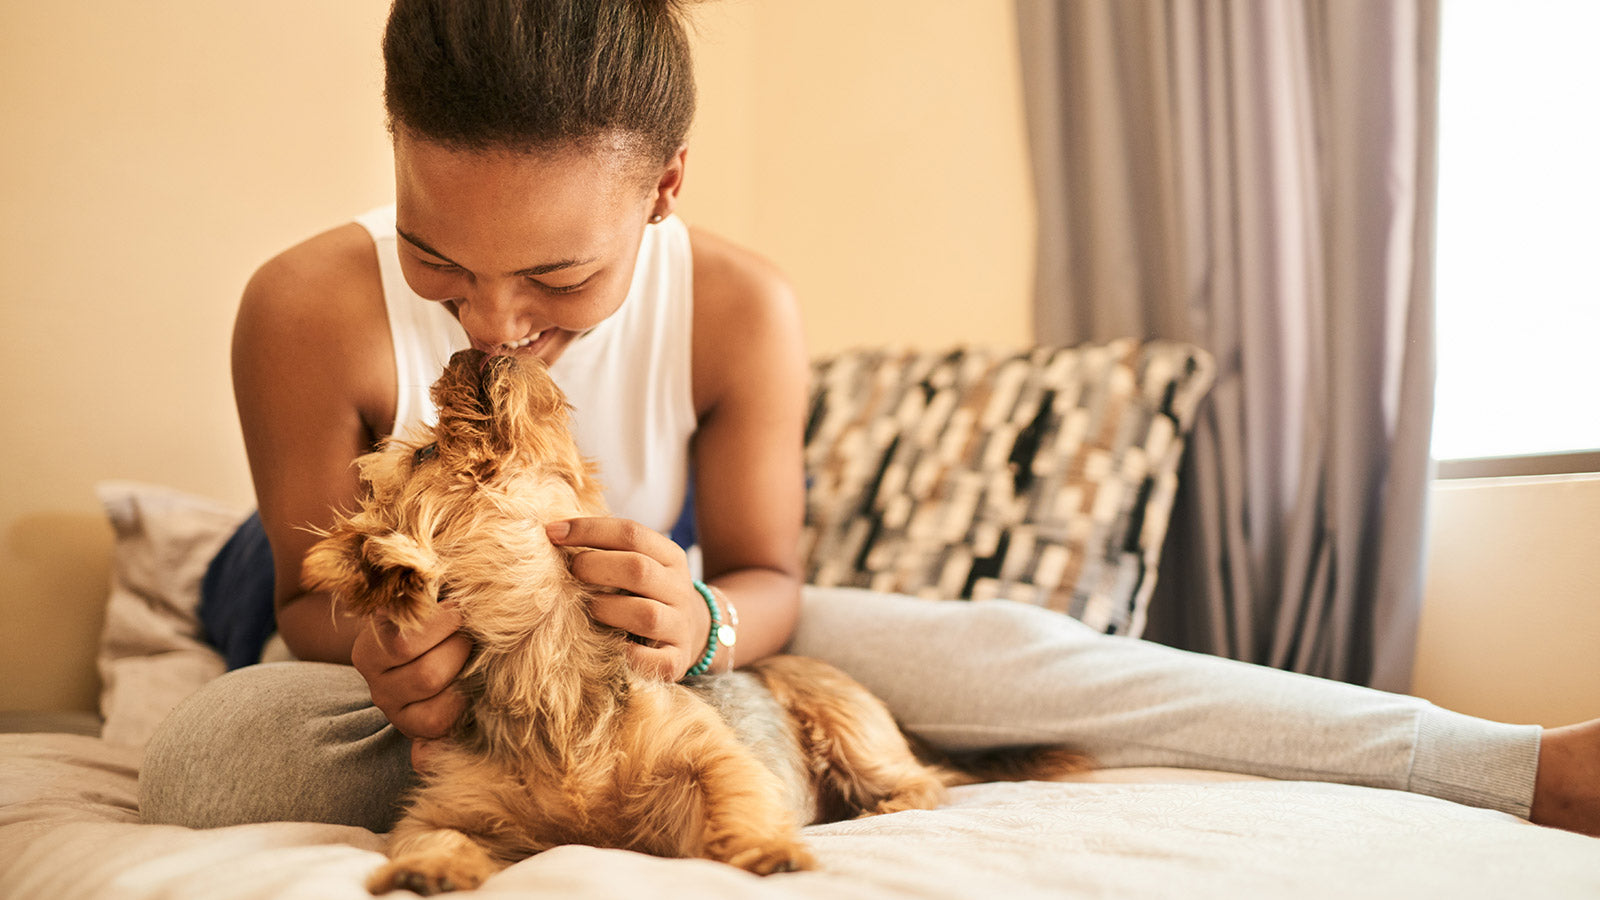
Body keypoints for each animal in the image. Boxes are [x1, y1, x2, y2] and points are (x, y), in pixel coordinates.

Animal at [300, 349, 1088, 890]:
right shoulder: (448, 805)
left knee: (919, 777)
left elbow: (734, 793)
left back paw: (884, 806)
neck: (548, 670)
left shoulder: (705, 753)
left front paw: (767, 849)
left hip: (843, 718)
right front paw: (424, 872)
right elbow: (428, 836)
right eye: (431, 451)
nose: (472, 349)